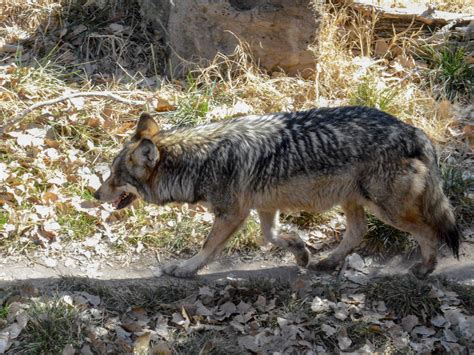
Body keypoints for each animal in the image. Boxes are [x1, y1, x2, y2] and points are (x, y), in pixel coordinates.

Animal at [92, 107, 460, 280]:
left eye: (115, 177)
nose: (95, 195)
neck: (200, 159)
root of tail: (414, 130)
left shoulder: (232, 214)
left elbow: (208, 247)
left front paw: (185, 269)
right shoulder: (263, 208)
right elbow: (271, 237)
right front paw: (300, 252)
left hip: (388, 209)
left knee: (429, 233)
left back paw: (425, 269)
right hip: (353, 201)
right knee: (359, 231)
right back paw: (328, 262)